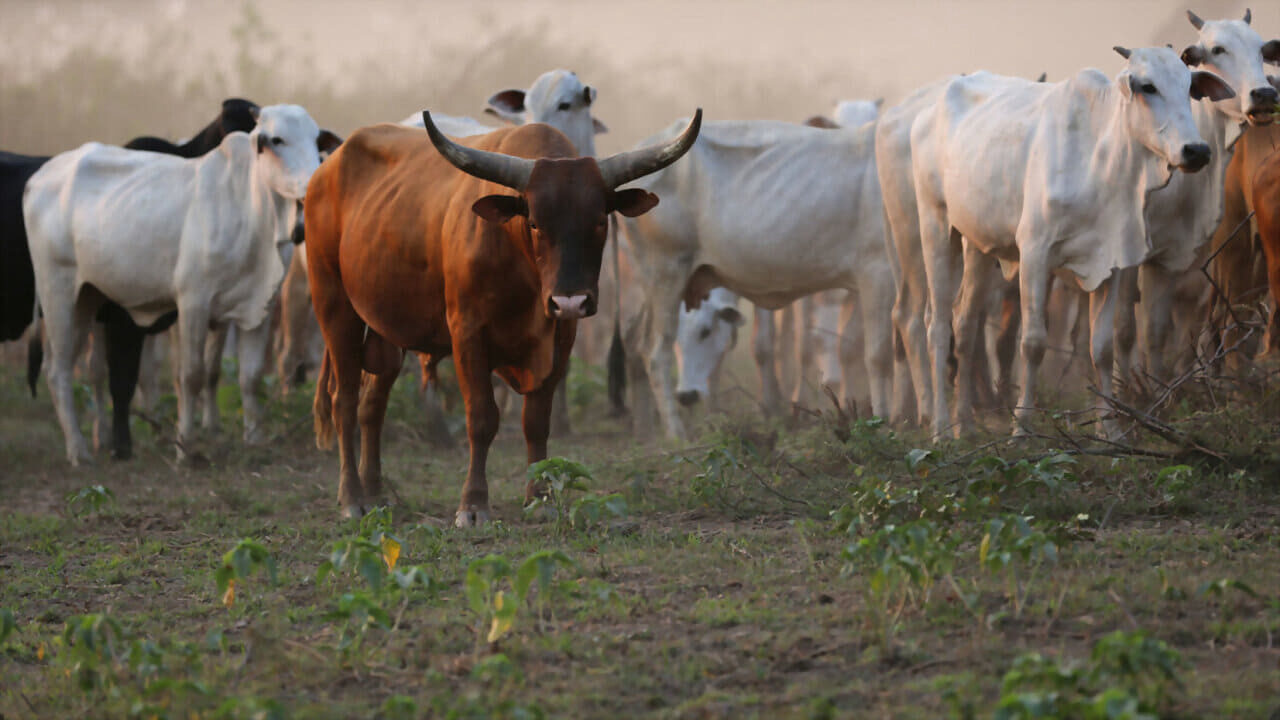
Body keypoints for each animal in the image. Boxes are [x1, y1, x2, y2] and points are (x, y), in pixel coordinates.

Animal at [26, 105, 325, 466]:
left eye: (316, 139)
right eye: (278, 140)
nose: (315, 183)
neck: (252, 210)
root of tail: (38, 178)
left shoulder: (260, 309)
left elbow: (250, 377)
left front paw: (254, 439)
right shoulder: (193, 304)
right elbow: (191, 376)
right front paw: (184, 448)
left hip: (87, 298)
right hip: (58, 293)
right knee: (57, 370)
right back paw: (79, 451)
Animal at [305, 109, 706, 520]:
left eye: (598, 221)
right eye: (534, 223)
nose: (571, 302)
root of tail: (328, 167)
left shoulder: (561, 339)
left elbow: (536, 421)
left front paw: (540, 497)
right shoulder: (467, 334)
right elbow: (482, 418)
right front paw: (473, 504)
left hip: (387, 327)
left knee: (372, 405)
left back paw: (375, 493)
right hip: (333, 305)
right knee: (343, 401)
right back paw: (352, 498)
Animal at [616, 117, 896, 438]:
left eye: (705, 332)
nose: (688, 395)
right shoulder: (878, 275)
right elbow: (880, 355)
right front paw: (886, 420)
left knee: (635, 346)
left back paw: (645, 429)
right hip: (665, 273)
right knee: (655, 354)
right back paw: (676, 434)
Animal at [916, 47, 1233, 438]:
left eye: (1190, 87)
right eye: (1148, 87)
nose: (1196, 150)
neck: (1101, 161)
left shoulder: (1112, 263)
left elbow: (1103, 348)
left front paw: (1108, 429)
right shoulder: (1034, 254)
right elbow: (1033, 344)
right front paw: (1021, 428)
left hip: (977, 242)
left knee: (965, 324)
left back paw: (966, 425)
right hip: (935, 223)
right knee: (937, 326)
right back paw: (942, 428)